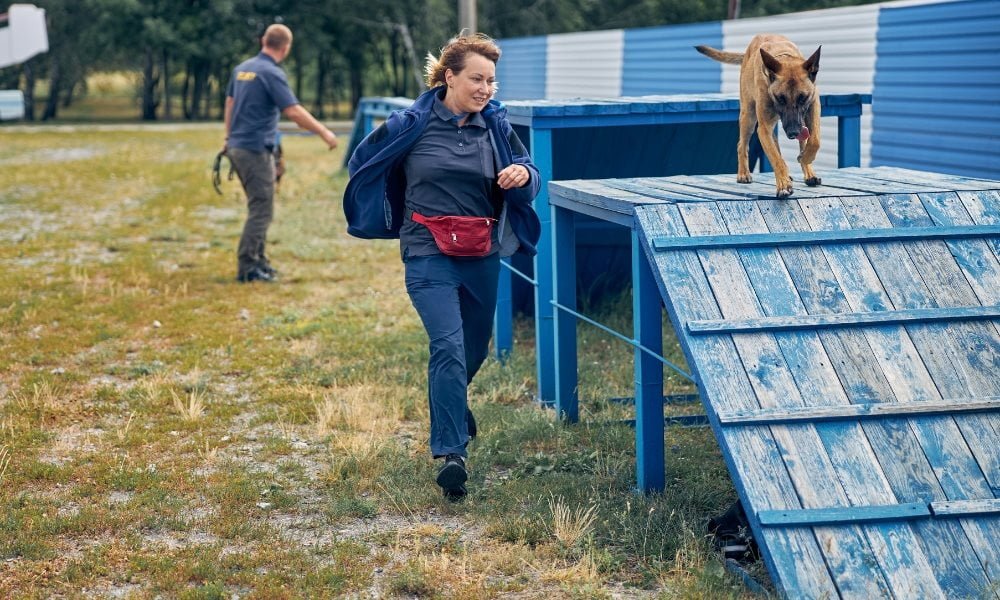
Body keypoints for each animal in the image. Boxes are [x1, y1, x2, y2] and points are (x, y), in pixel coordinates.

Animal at [700, 34, 824, 198]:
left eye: (802, 98)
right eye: (780, 98)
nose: (793, 133)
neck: (784, 57)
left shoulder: (814, 106)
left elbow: (815, 140)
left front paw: (805, 159)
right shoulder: (764, 128)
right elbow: (776, 158)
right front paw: (783, 184)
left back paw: (808, 173)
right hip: (749, 117)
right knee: (742, 145)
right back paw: (744, 174)